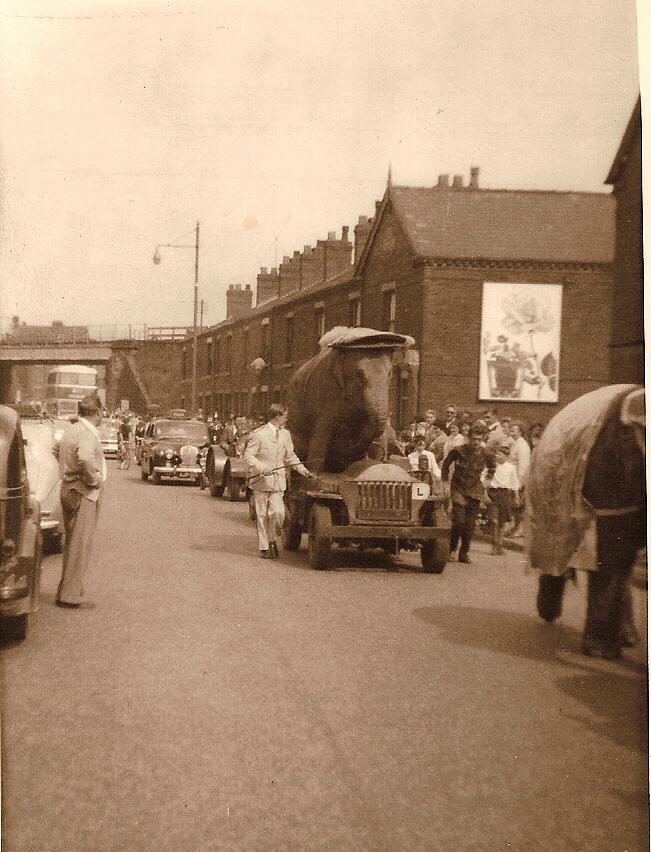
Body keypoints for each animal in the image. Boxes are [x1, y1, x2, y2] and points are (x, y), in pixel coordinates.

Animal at [528, 384, 648, 660]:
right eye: (632, 439)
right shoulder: (608, 476)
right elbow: (609, 554)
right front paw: (599, 651)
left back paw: (627, 637)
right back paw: (548, 612)